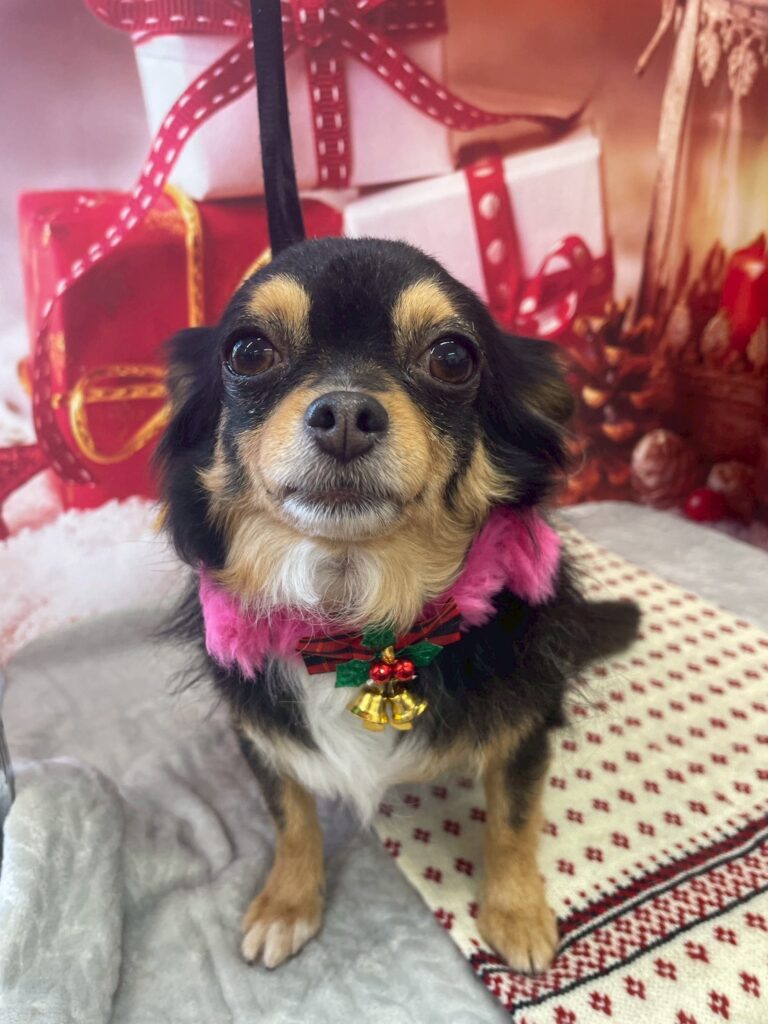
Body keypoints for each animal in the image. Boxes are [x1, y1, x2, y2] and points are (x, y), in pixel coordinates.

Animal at [157, 236, 639, 973]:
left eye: (452, 357)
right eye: (248, 351)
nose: (345, 414)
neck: (357, 616)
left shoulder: (525, 721)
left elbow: (513, 818)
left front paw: (516, 911)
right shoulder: (261, 730)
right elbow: (290, 817)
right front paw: (287, 902)